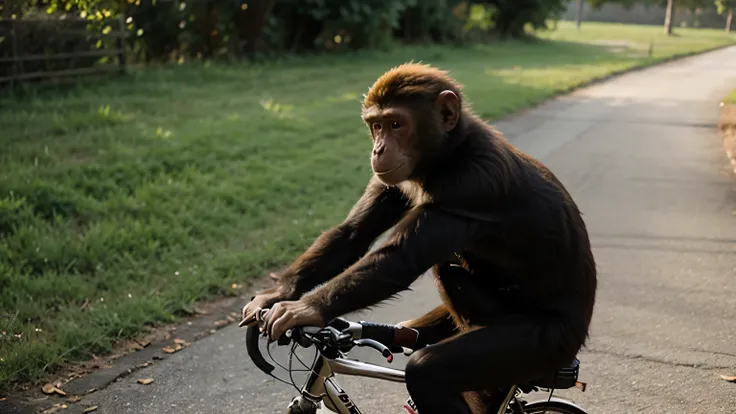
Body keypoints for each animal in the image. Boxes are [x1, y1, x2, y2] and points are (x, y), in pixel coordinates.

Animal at [243, 62, 600, 414]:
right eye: (376, 126)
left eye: (396, 124)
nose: (378, 148)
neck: (450, 153)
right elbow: (352, 234)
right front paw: (276, 295)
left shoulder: (473, 183)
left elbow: (400, 259)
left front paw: (302, 310)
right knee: (446, 271)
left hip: (544, 343)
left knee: (430, 368)